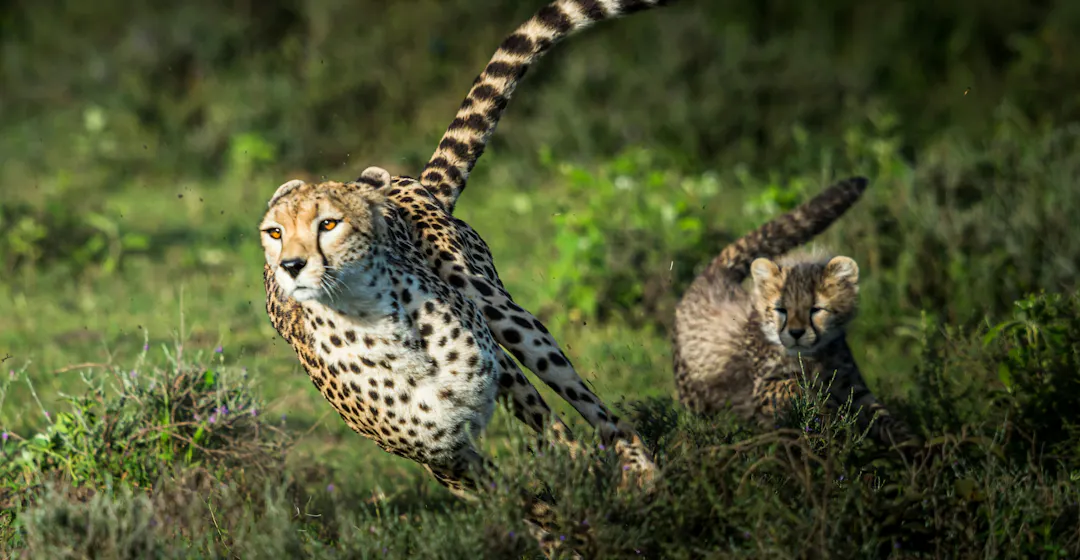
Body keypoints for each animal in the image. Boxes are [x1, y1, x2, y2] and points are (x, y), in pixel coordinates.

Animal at [672, 177, 918, 448]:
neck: (811, 357)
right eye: (781, 309)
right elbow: (794, 386)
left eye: (816, 309)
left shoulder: (851, 387)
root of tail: (714, 276)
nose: (796, 333)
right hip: (695, 398)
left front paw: (916, 448)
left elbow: (883, 417)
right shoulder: (762, 388)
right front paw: (823, 411)